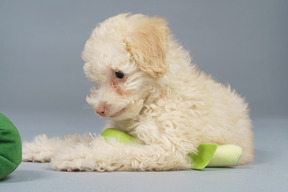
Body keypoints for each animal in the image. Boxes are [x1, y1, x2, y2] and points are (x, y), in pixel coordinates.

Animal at [23, 13, 254, 171]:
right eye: (95, 80)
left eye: (119, 74)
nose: (99, 110)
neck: (154, 98)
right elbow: (80, 138)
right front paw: (38, 148)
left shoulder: (168, 148)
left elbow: (117, 151)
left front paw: (74, 156)